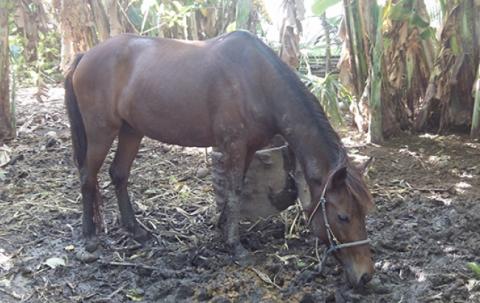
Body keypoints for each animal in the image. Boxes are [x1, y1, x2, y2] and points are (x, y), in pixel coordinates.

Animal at [63, 31, 376, 290]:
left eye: (364, 212)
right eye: (343, 216)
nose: (366, 275)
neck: (258, 81)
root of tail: (84, 56)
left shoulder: (248, 147)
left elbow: (235, 191)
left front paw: (223, 229)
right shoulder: (234, 145)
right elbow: (235, 192)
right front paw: (235, 246)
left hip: (131, 130)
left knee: (119, 174)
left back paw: (136, 230)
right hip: (101, 131)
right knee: (88, 177)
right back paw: (89, 237)